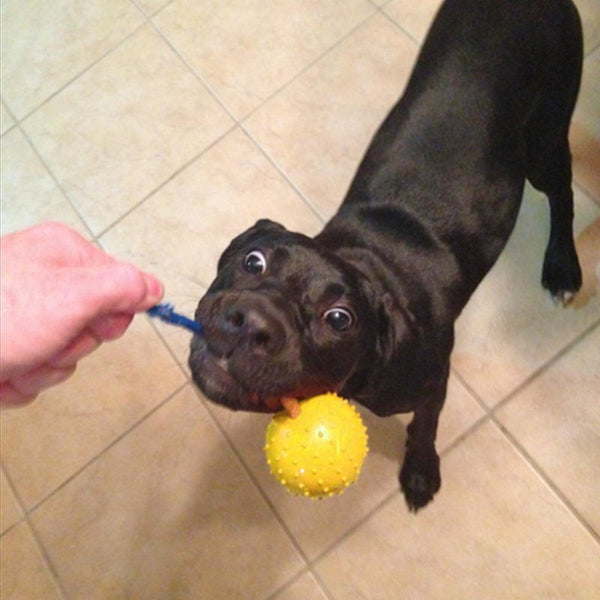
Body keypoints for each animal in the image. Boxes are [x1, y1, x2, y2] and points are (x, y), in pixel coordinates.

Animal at [188, 0, 580, 510]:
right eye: (254, 261)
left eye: (340, 318)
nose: (250, 322)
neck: (366, 262)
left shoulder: (431, 385)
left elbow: (423, 429)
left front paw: (419, 472)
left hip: (544, 140)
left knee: (564, 194)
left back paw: (563, 268)